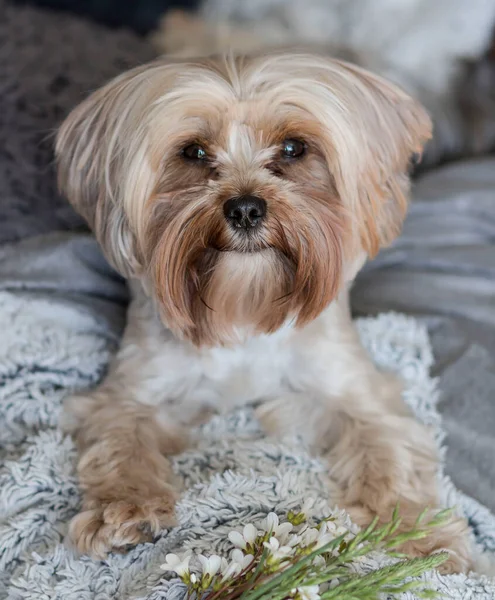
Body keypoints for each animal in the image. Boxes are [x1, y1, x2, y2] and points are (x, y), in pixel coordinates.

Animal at [55, 51, 472, 572]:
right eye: (193, 152)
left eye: (293, 148)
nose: (246, 209)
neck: (246, 308)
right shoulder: (129, 390)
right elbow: (119, 440)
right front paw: (123, 509)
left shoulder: (357, 390)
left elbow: (389, 453)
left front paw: (419, 535)